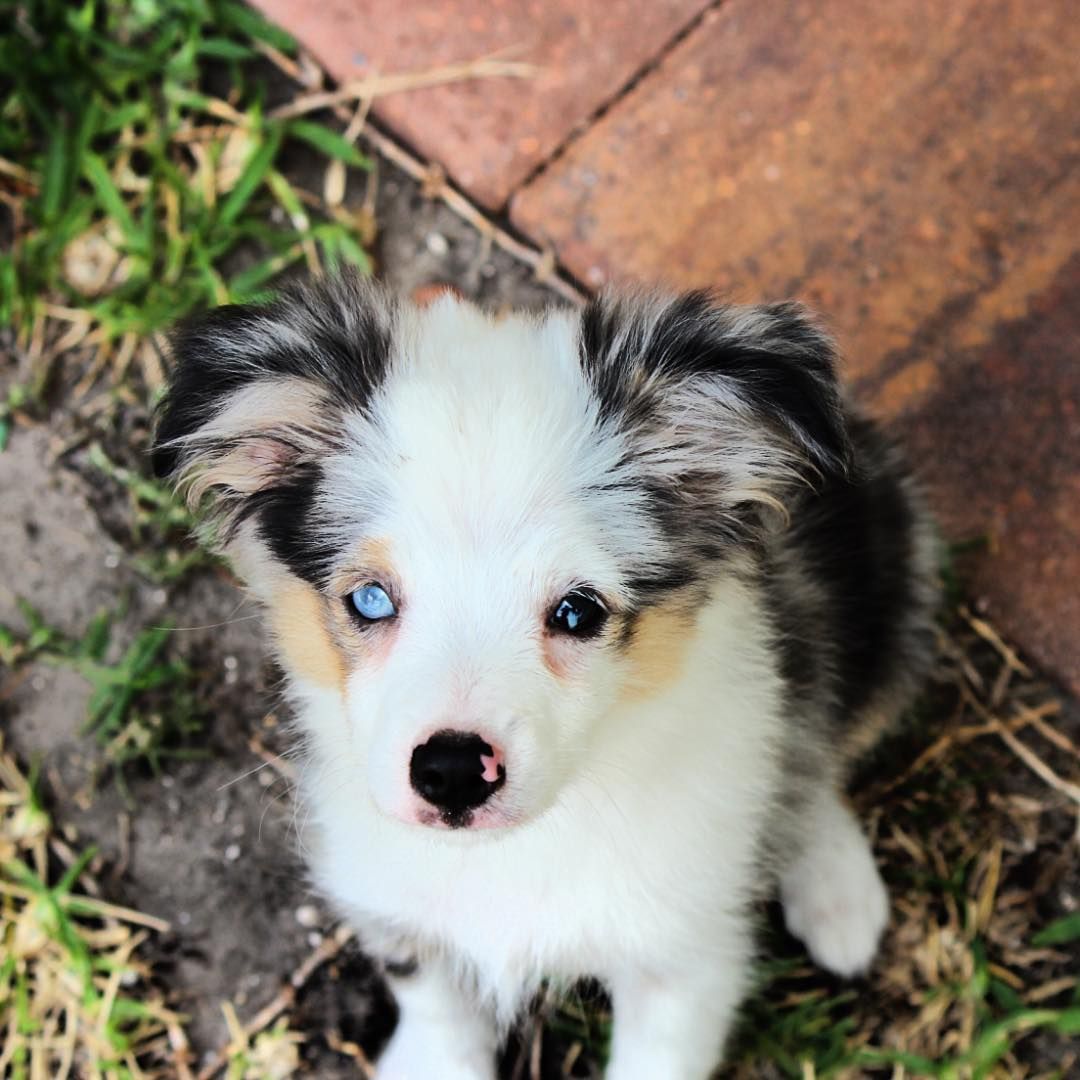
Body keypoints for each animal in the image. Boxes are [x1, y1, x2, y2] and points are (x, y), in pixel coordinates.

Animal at [150, 276, 937, 1080]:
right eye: (369, 599)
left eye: (577, 610)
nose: (451, 772)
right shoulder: (394, 896)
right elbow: (437, 1006)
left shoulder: (685, 961)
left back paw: (838, 893)